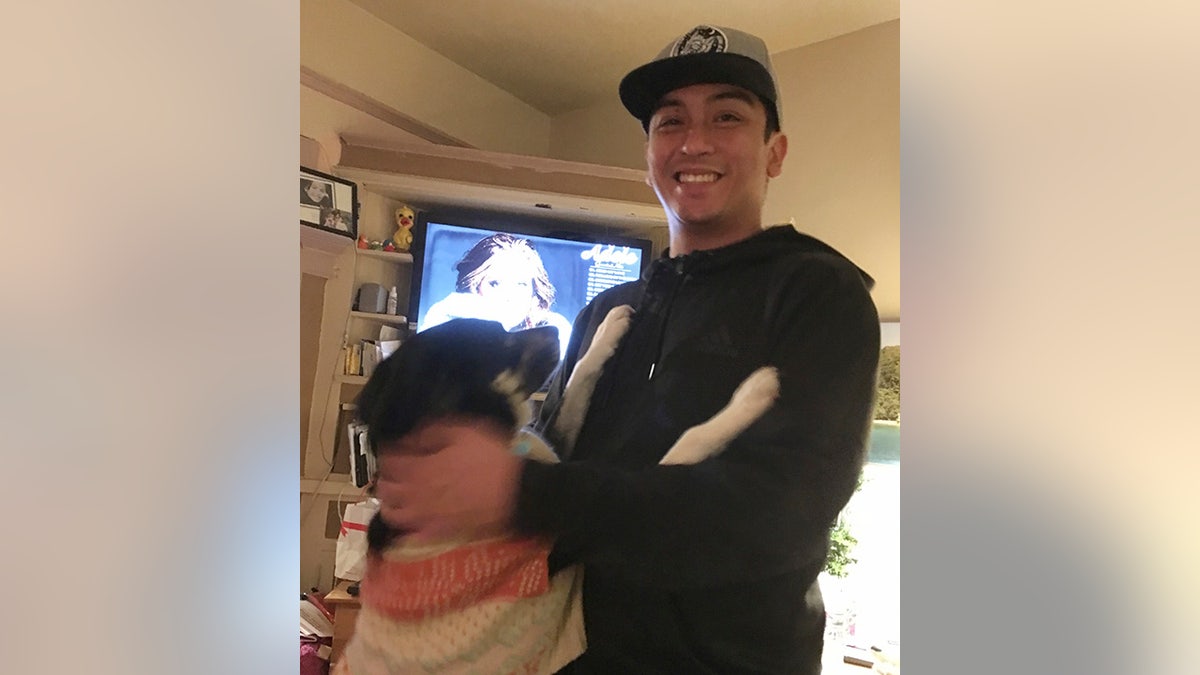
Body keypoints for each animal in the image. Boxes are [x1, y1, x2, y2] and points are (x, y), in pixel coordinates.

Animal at [338, 306, 782, 672]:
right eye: (500, 339)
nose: (556, 329)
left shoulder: (553, 455)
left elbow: (575, 389)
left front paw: (606, 331)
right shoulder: (591, 524)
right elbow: (691, 440)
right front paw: (752, 395)